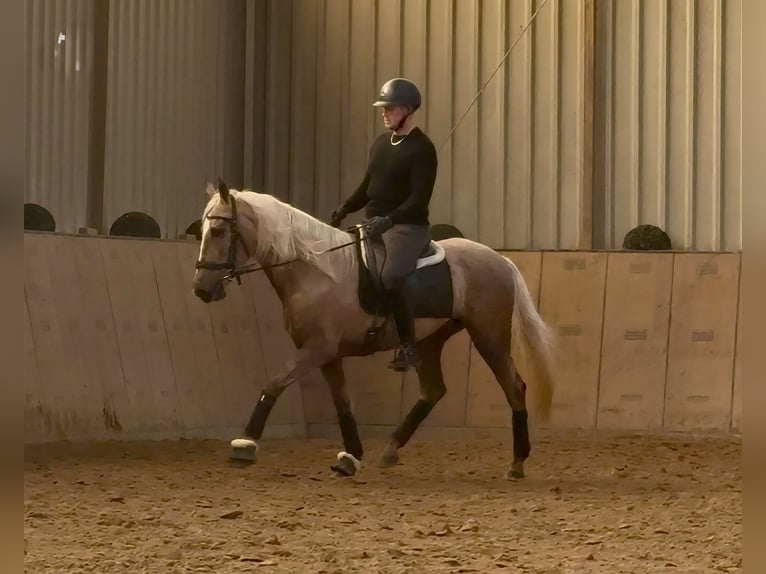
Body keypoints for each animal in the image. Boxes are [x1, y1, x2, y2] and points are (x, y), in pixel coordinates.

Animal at [192, 180, 556, 480]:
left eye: (219, 231)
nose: (201, 289)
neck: (316, 272)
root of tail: (499, 259)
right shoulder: (328, 354)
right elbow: (343, 403)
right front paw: (351, 457)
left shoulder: (317, 349)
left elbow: (274, 384)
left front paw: (245, 444)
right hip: (429, 340)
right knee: (433, 390)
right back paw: (391, 449)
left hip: (488, 335)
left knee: (514, 387)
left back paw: (517, 463)